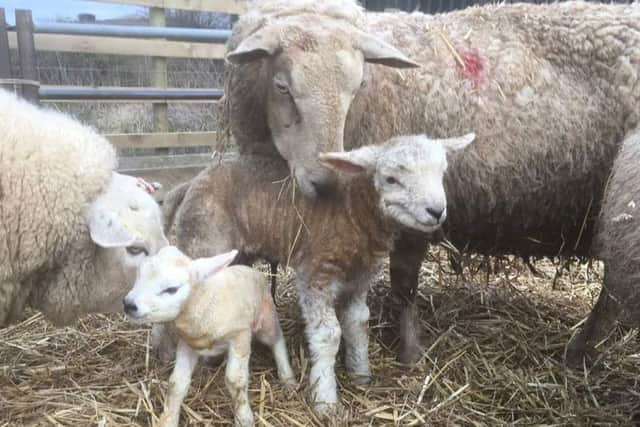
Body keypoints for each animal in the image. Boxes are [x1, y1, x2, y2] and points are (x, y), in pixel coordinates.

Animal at [123, 246, 296, 427]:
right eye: (139, 275)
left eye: (171, 289)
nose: (128, 304)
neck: (204, 301)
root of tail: (253, 270)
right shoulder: (187, 344)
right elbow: (176, 383)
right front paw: (168, 419)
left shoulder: (240, 335)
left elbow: (235, 380)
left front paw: (244, 418)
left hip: (266, 319)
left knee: (277, 340)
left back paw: (288, 377)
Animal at [162, 133, 476, 414]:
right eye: (390, 179)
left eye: (441, 173)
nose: (437, 210)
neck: (353, 213)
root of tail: (192, 182)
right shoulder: (315, 276)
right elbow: (328, 335)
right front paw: (325, 399)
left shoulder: (359, 279)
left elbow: (357, 322)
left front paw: (360, 373)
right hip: (204, 242)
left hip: (238, 253)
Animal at [224, 0, 640, 364]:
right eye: (282, 86)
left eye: (357, 87)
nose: (326, 182)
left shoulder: (412, 210)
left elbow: (404, 282)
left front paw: (409, 349)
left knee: (614, 291)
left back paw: (580, 351)